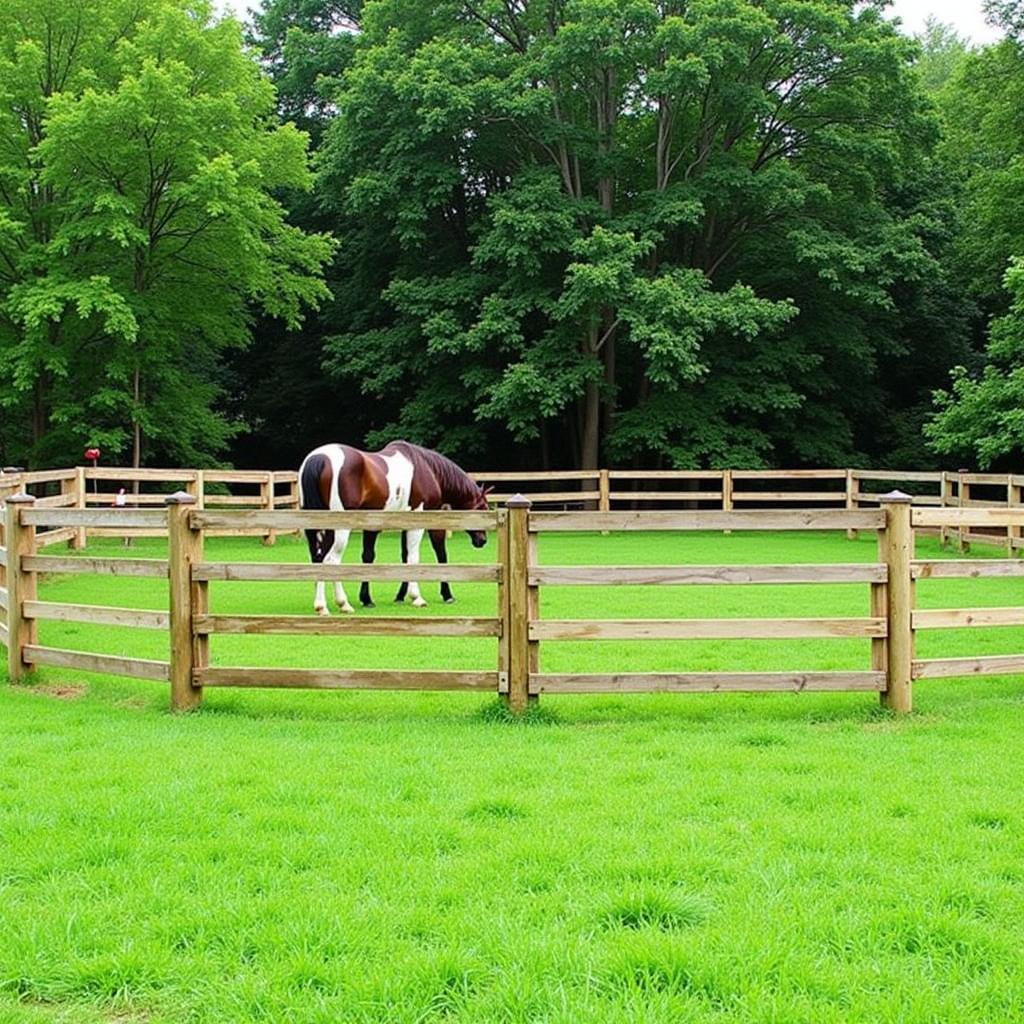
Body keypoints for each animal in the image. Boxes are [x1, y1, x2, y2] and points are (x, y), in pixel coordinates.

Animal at [296, 442, 491, 614]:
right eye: (483, 508)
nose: (482, 540)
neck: (429, 469)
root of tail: (319, 458)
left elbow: (400, 557)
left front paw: (392, 597)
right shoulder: (421, 522)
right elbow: (423, 557)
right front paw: (423, 597)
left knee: (317, 558)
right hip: (339, 529)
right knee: (331, 560)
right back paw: (337, 605)